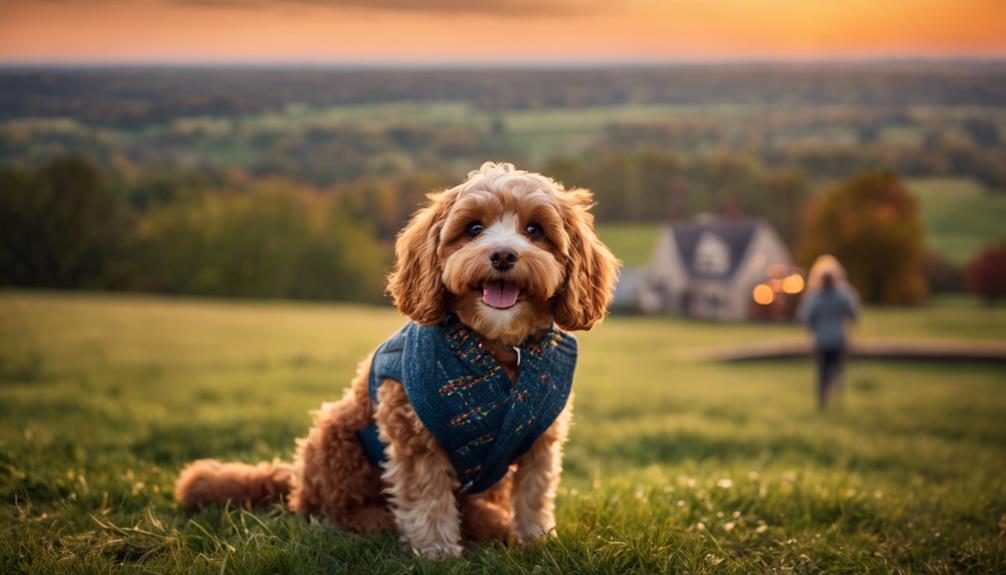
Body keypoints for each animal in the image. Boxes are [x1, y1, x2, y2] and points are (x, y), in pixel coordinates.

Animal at [177, 161, 623, 558]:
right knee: (329, 510)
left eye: (535, 230)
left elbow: (533, 494)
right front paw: (436, 550)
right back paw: (378, 519)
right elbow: (426, 497)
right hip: (335, 434)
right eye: (473, 228)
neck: (498, 347)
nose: (502, 255)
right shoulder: (413, 434)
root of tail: (296, 481)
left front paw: (535, 540)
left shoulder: (539, 440)